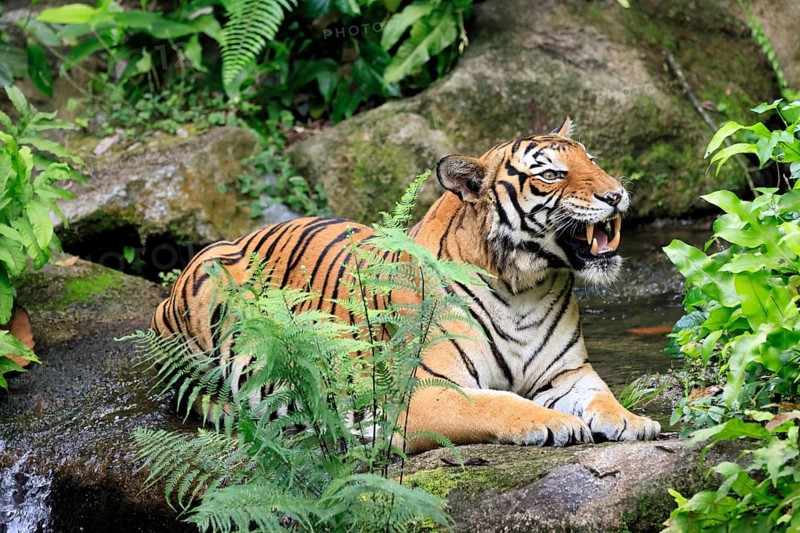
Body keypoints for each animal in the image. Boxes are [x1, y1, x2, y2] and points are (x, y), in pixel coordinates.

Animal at [151, 118, 661, 453]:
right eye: (551, 174)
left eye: (592, 161)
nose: (616, 194)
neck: (524, 287)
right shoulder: (424, 390)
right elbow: (496, 405)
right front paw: (555, 423)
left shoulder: (568, 373)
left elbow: (601, 396)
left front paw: (635, 421)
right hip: (206, 297)